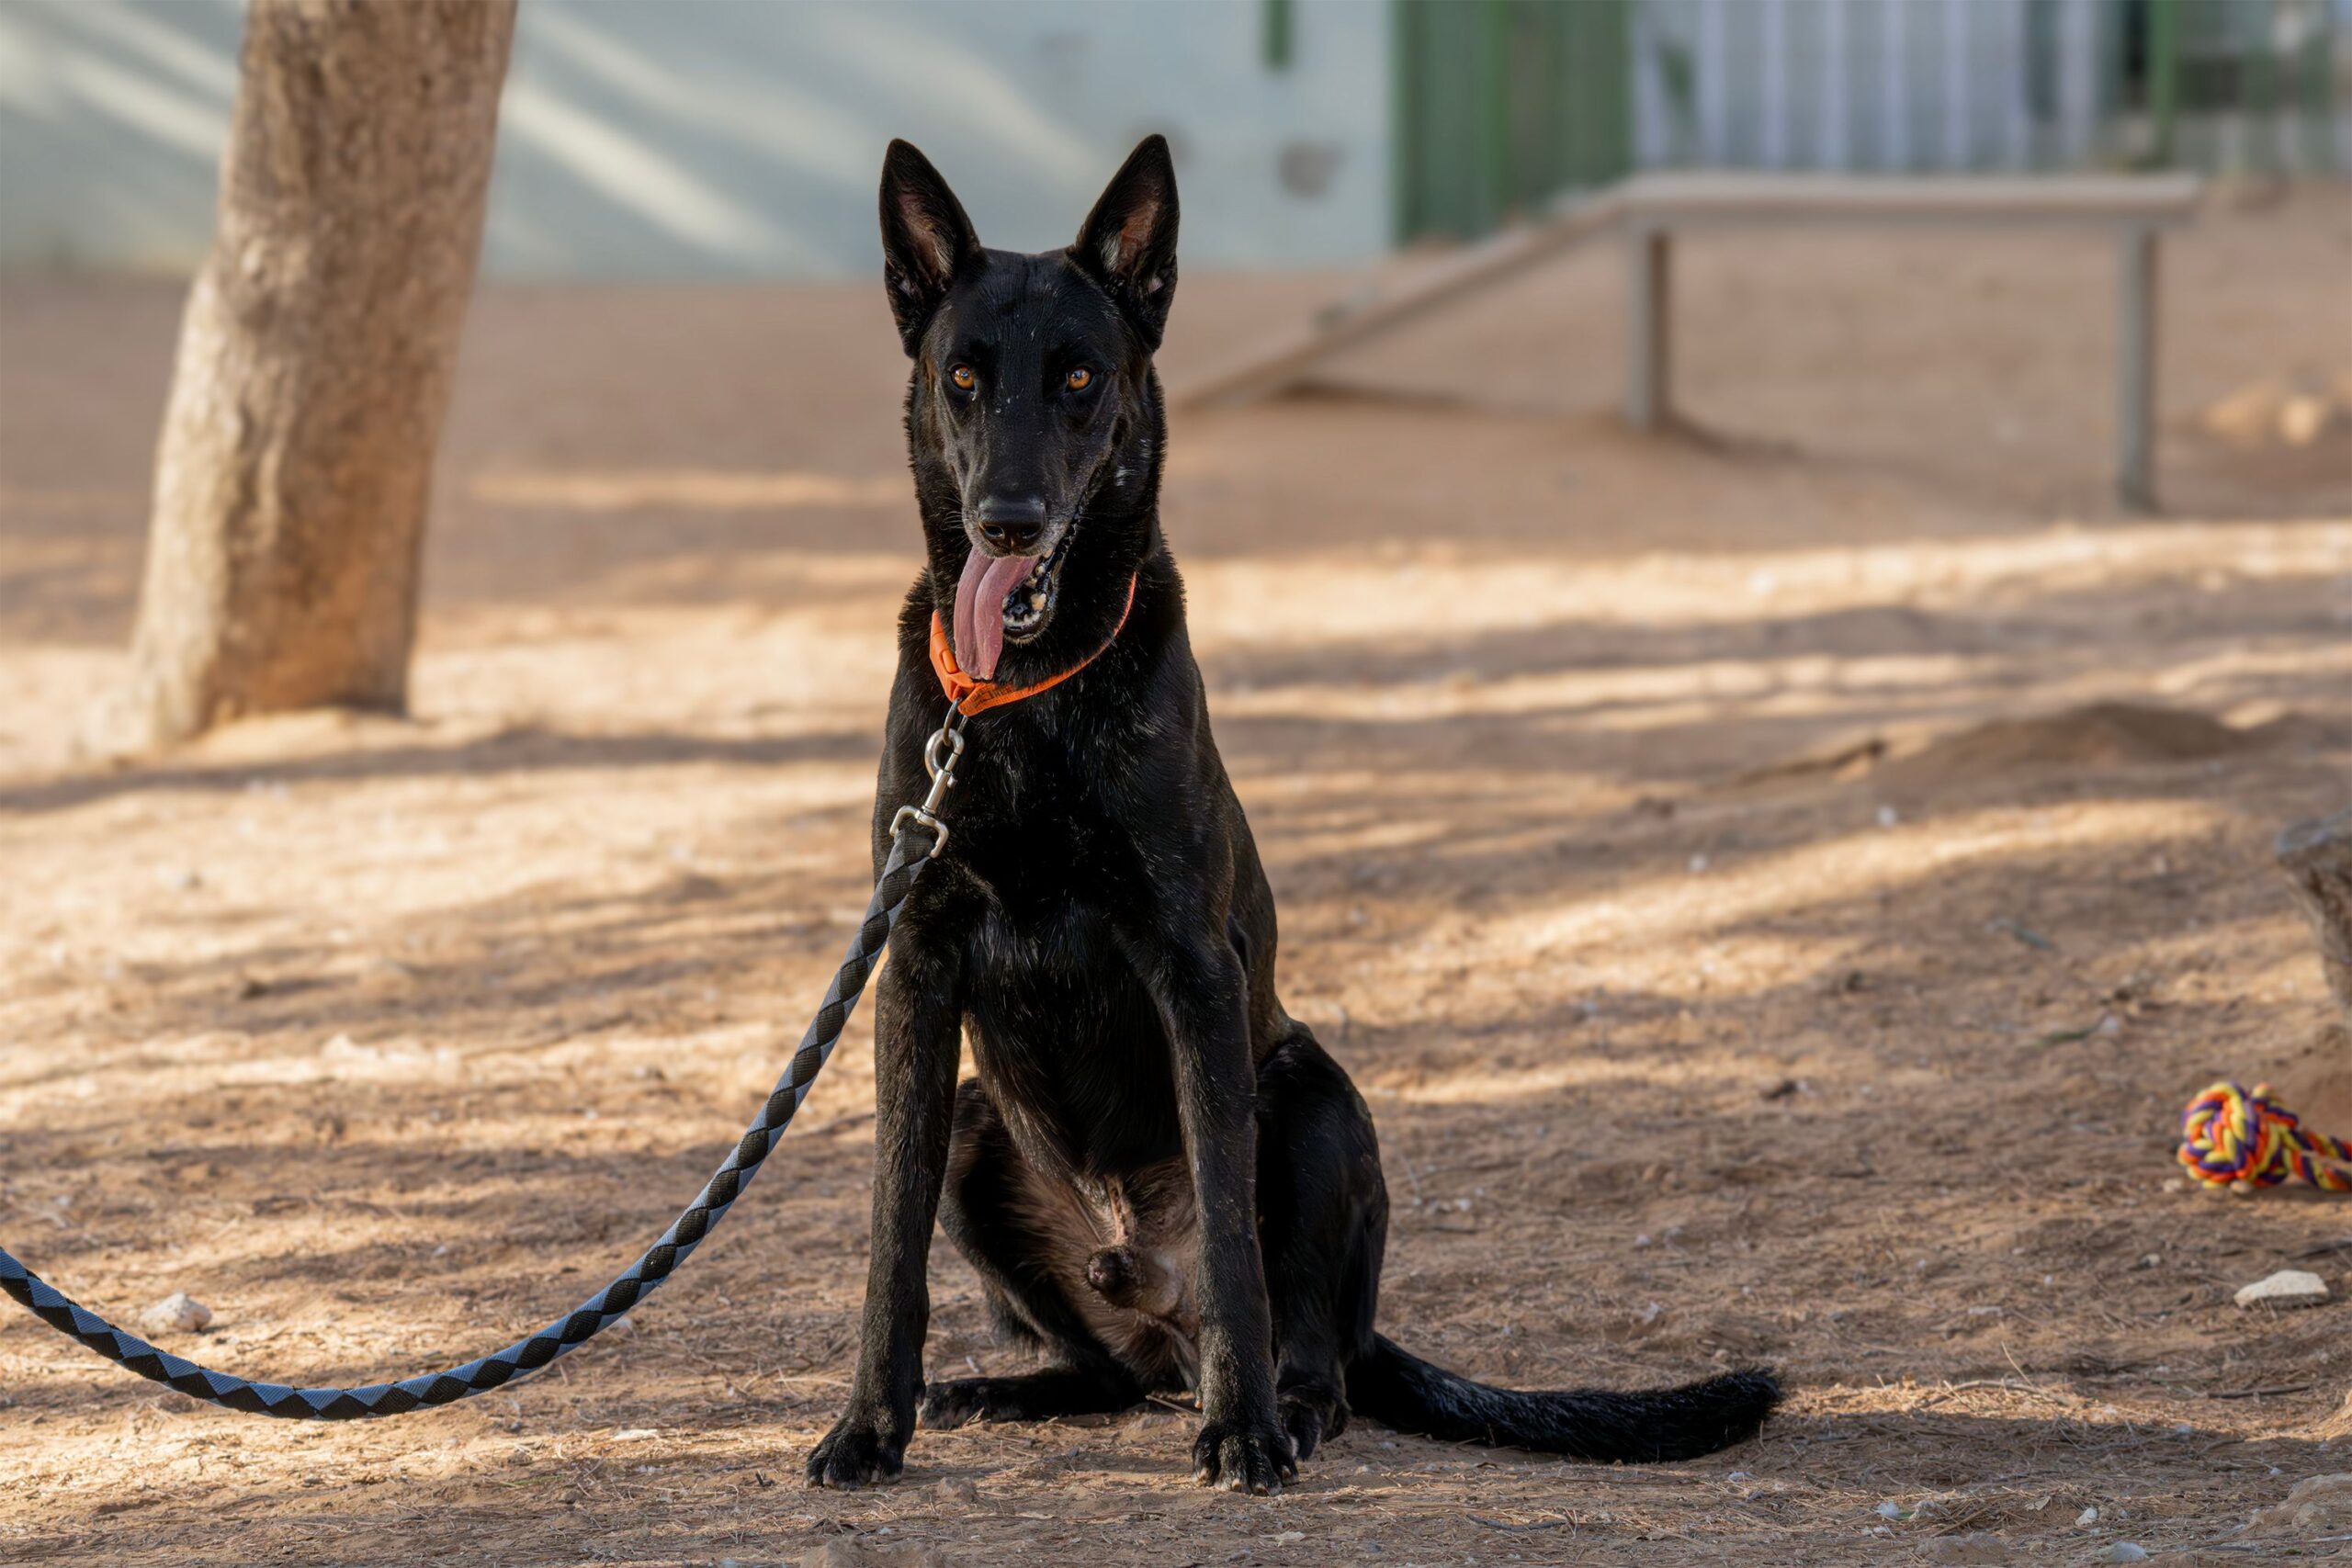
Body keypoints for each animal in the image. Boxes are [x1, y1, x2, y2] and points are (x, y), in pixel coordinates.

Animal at [807, 136, 1779, 1494]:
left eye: (1079, 376)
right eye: (962, 377)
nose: (1008, 520)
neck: (1027, 697)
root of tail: (1140, 1281)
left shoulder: (1195, 969)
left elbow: (1230, 1232)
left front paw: (1246, 1429)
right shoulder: (916, 967)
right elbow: (887, 1234)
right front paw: (867, 1424)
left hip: (1311, 1094)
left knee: (1304, 1334)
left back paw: (1288, 1402)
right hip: (978, 1132)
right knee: (1111, 1370)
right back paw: (998, 1386)